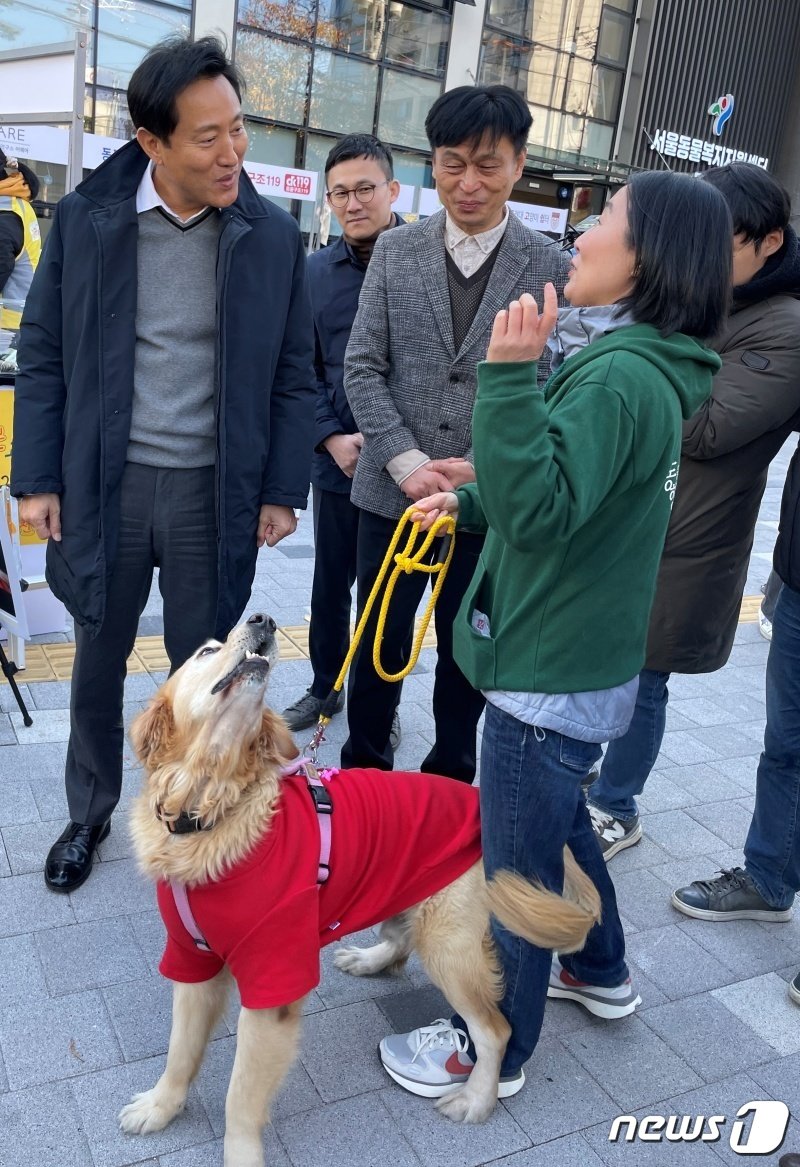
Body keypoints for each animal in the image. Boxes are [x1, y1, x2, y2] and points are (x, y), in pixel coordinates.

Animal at [118, 611, 601, 1167]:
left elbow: (239, 1095)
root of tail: (483, 805)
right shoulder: (191, 959)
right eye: (206, 652)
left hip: (450, 944)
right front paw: (160, 1107)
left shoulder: (274, 982)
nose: (263, 619)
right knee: (400, 943)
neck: (210, 810)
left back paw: (477, 1099)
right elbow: (180, 1053)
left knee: (496, 1029)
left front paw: (239, 1154)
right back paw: (370, 959)